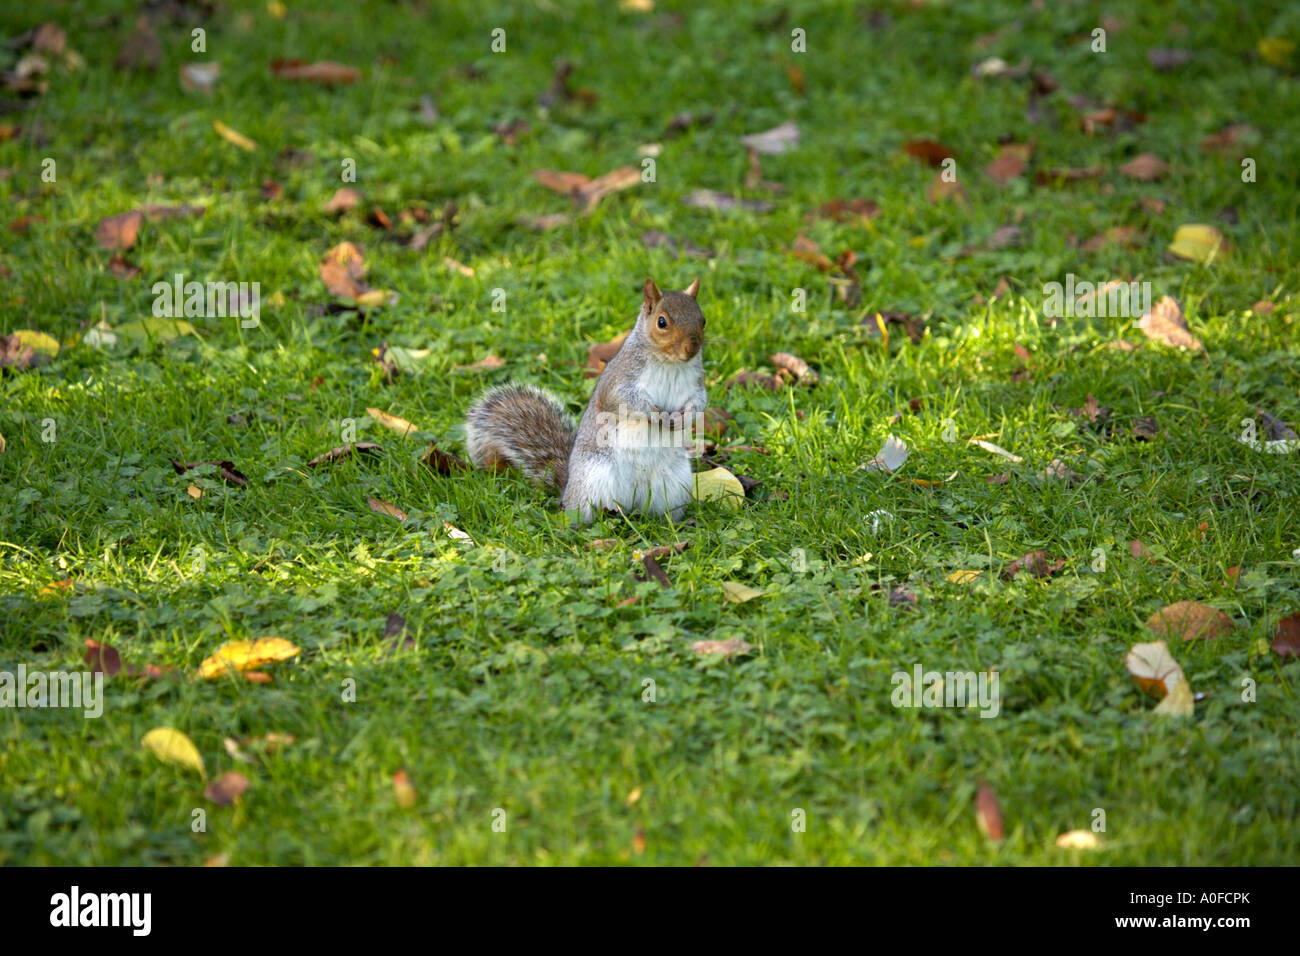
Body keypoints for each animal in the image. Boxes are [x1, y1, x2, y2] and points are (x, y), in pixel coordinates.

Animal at [467, 277, 707, 528]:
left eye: (703, 321)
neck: (669, 363)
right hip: (593, 480)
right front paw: (656, 414)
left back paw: (677, 523)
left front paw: (685, 416)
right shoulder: (620, 378)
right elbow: (621, 400)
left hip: (674, 485)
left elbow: (699, 401)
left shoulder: (696, 383)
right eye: (662, 322)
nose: (692, 349)